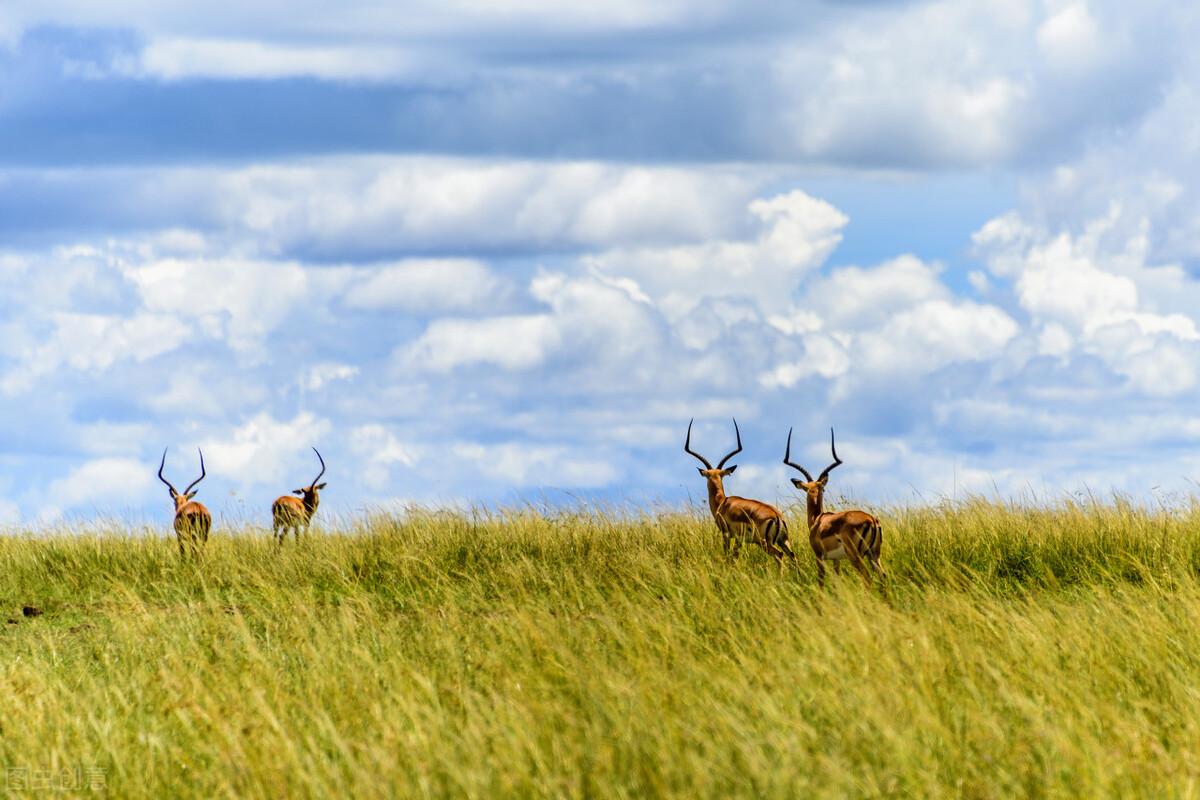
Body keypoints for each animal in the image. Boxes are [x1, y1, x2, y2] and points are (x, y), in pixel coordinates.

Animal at [686, 419, 796, 568]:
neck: (723, 503)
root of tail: (777, 516)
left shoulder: (726, 534)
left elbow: (728, 556)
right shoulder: (740, 540)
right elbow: (735, 557)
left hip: (764, 542)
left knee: (779, 555)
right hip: (784, 541)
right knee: (793, 557)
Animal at [787, 429, 883, 592]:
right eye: (820, 488)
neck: (818, 520)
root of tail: (871, 519)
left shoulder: (819, 556)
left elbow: (821, 582)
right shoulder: (836, 560)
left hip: (856, 556)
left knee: (867, 578)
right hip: (874, 555)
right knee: (883, 577)